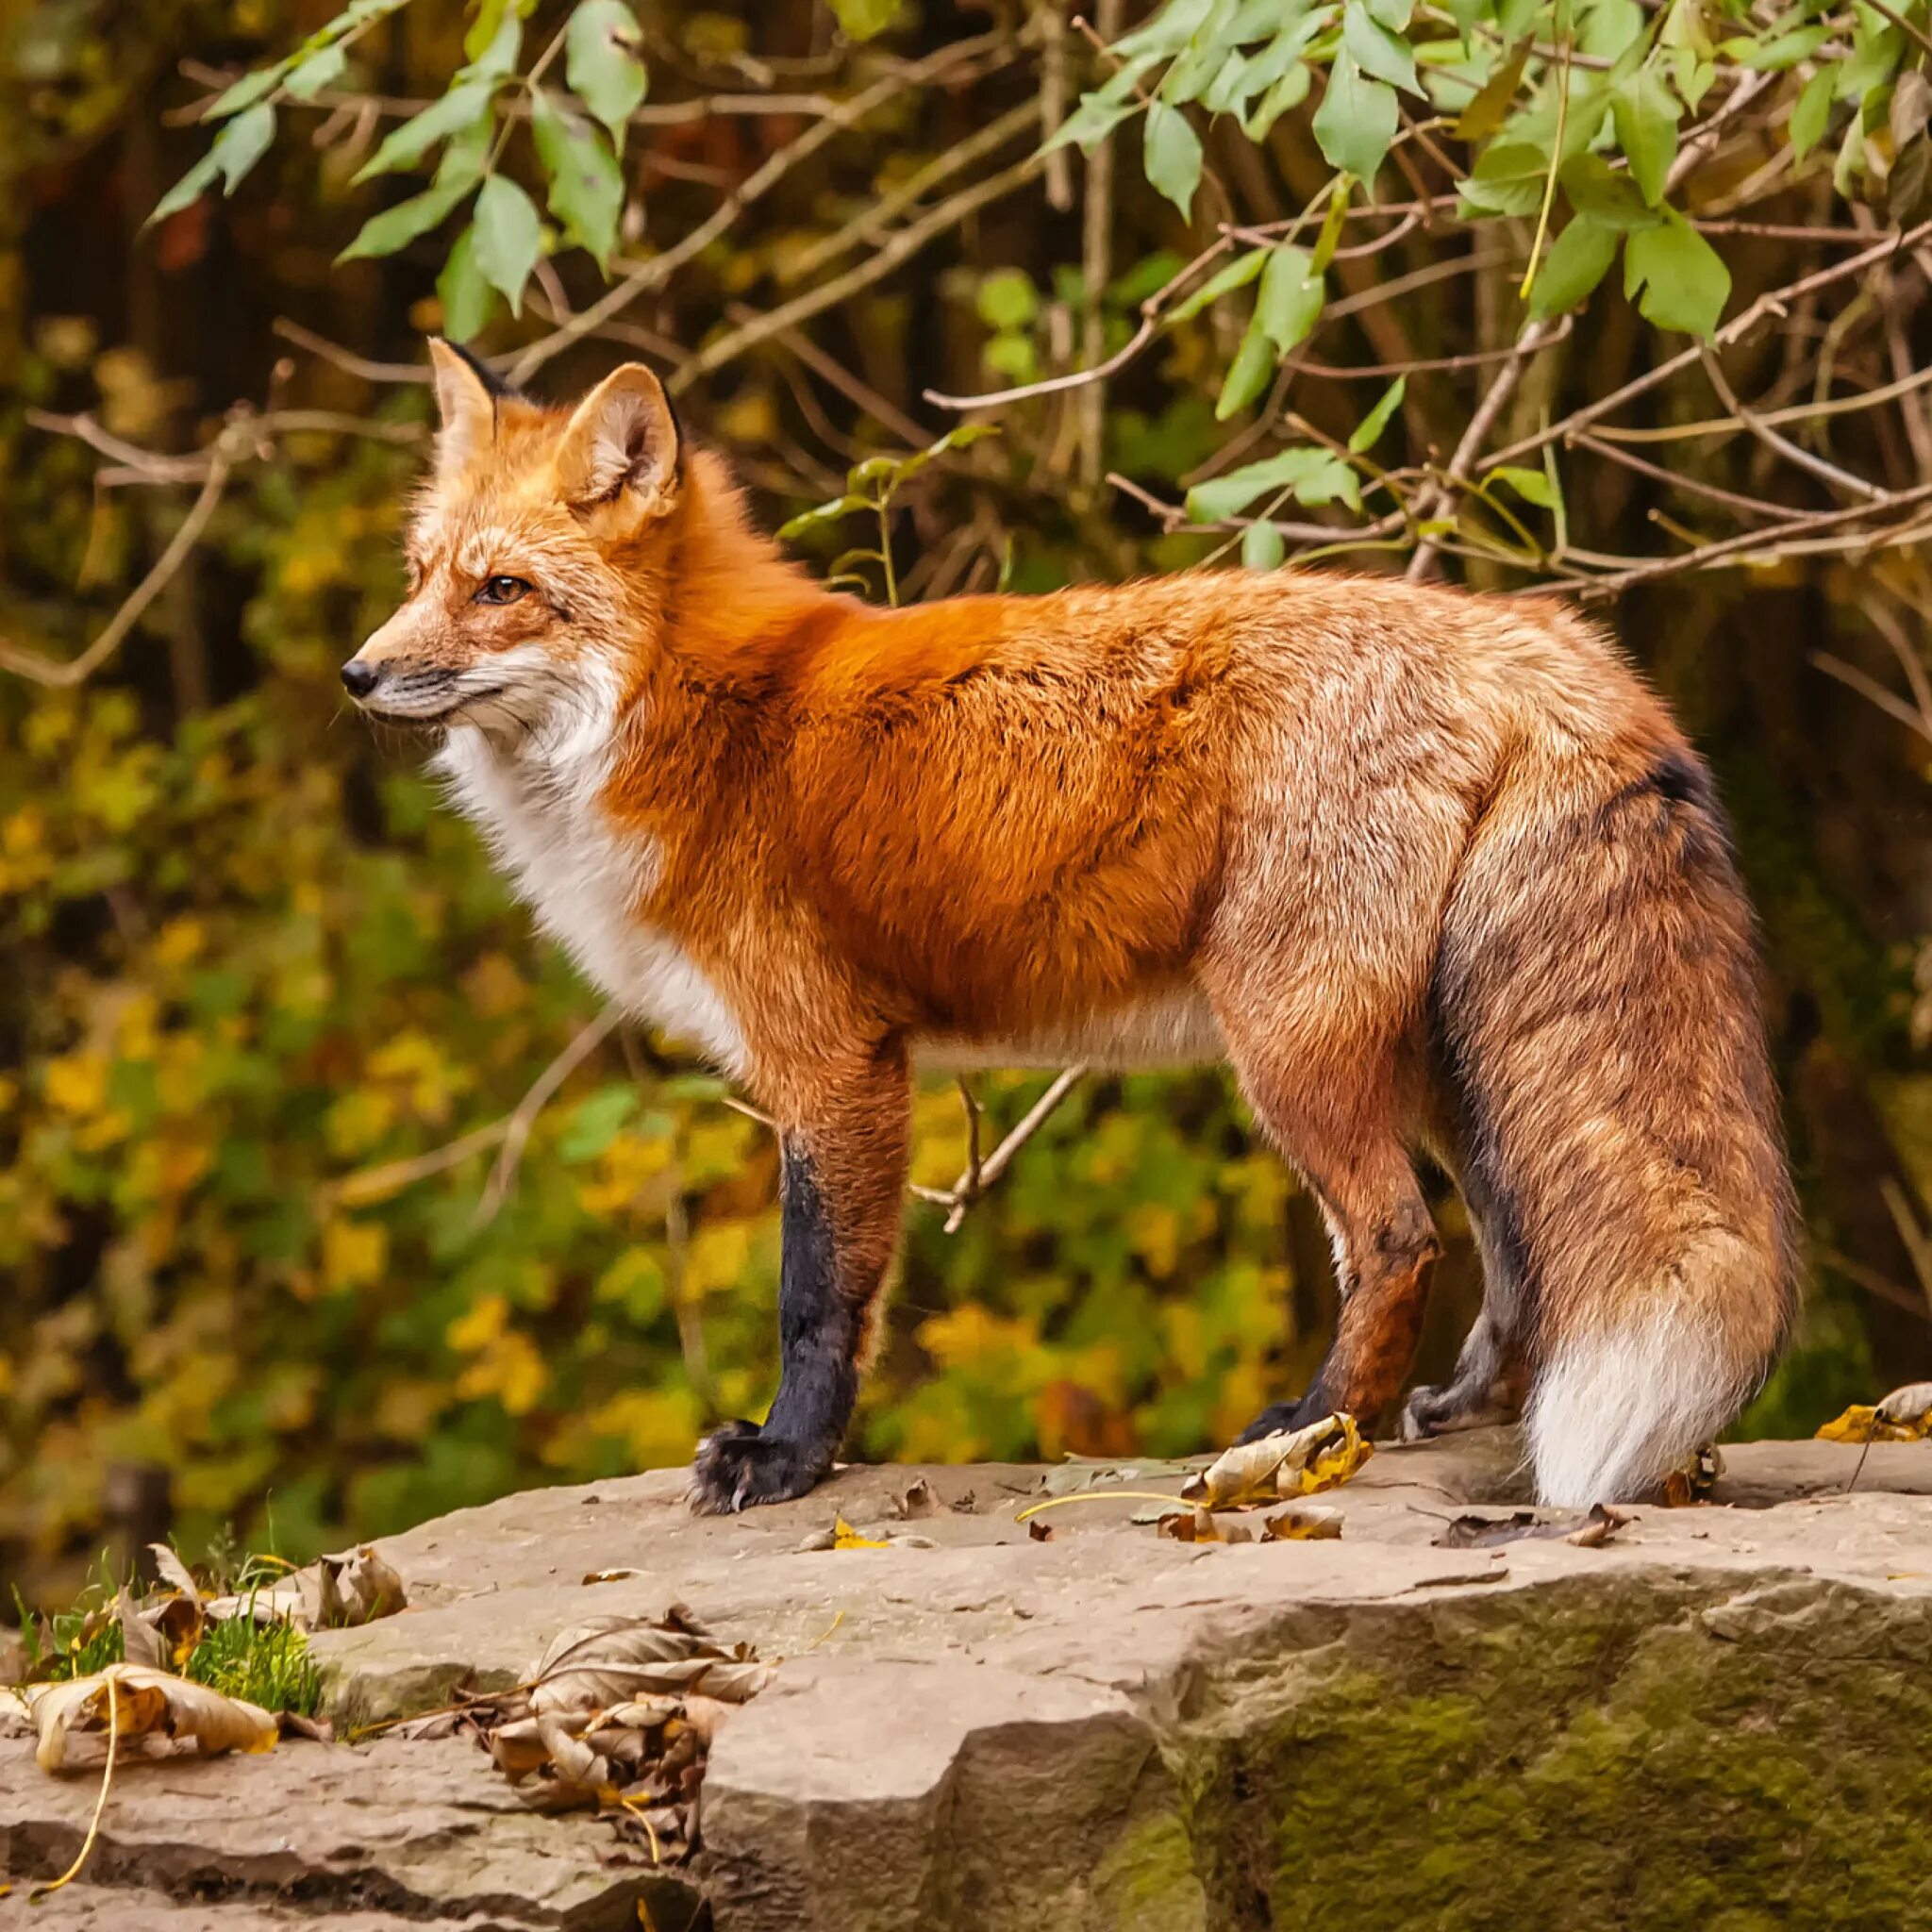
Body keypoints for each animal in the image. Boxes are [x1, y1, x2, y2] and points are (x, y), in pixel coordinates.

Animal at [343, 347, 1792, 1514]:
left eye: (502, 589)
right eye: (417, 577)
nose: (359, 672)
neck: (692, 713)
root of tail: (1533, 633)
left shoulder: (834, 1060)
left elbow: (819, 1296)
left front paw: (788, 1458)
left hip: (1292, 1043)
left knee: (1399, 1239)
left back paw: (1315, 1431)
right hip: (1443, 1054)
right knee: (1510, 1246)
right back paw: (1446, 1411)